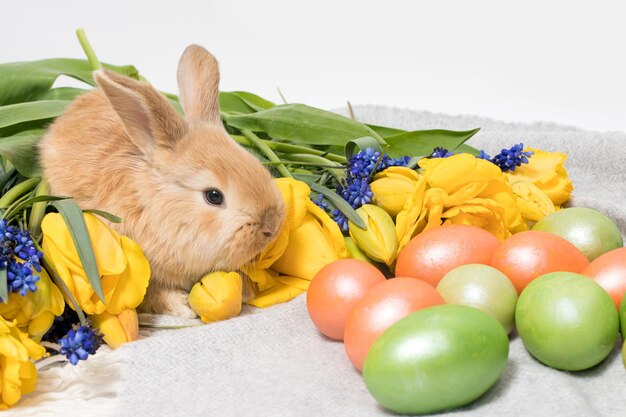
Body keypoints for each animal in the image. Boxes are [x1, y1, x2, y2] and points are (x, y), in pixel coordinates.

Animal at [40, 44, 288, 316]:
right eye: (213, 196)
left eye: (255, 163)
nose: (271, 226)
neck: (159, 208)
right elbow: (154, 295)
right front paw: (183, 306)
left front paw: (246, 290)